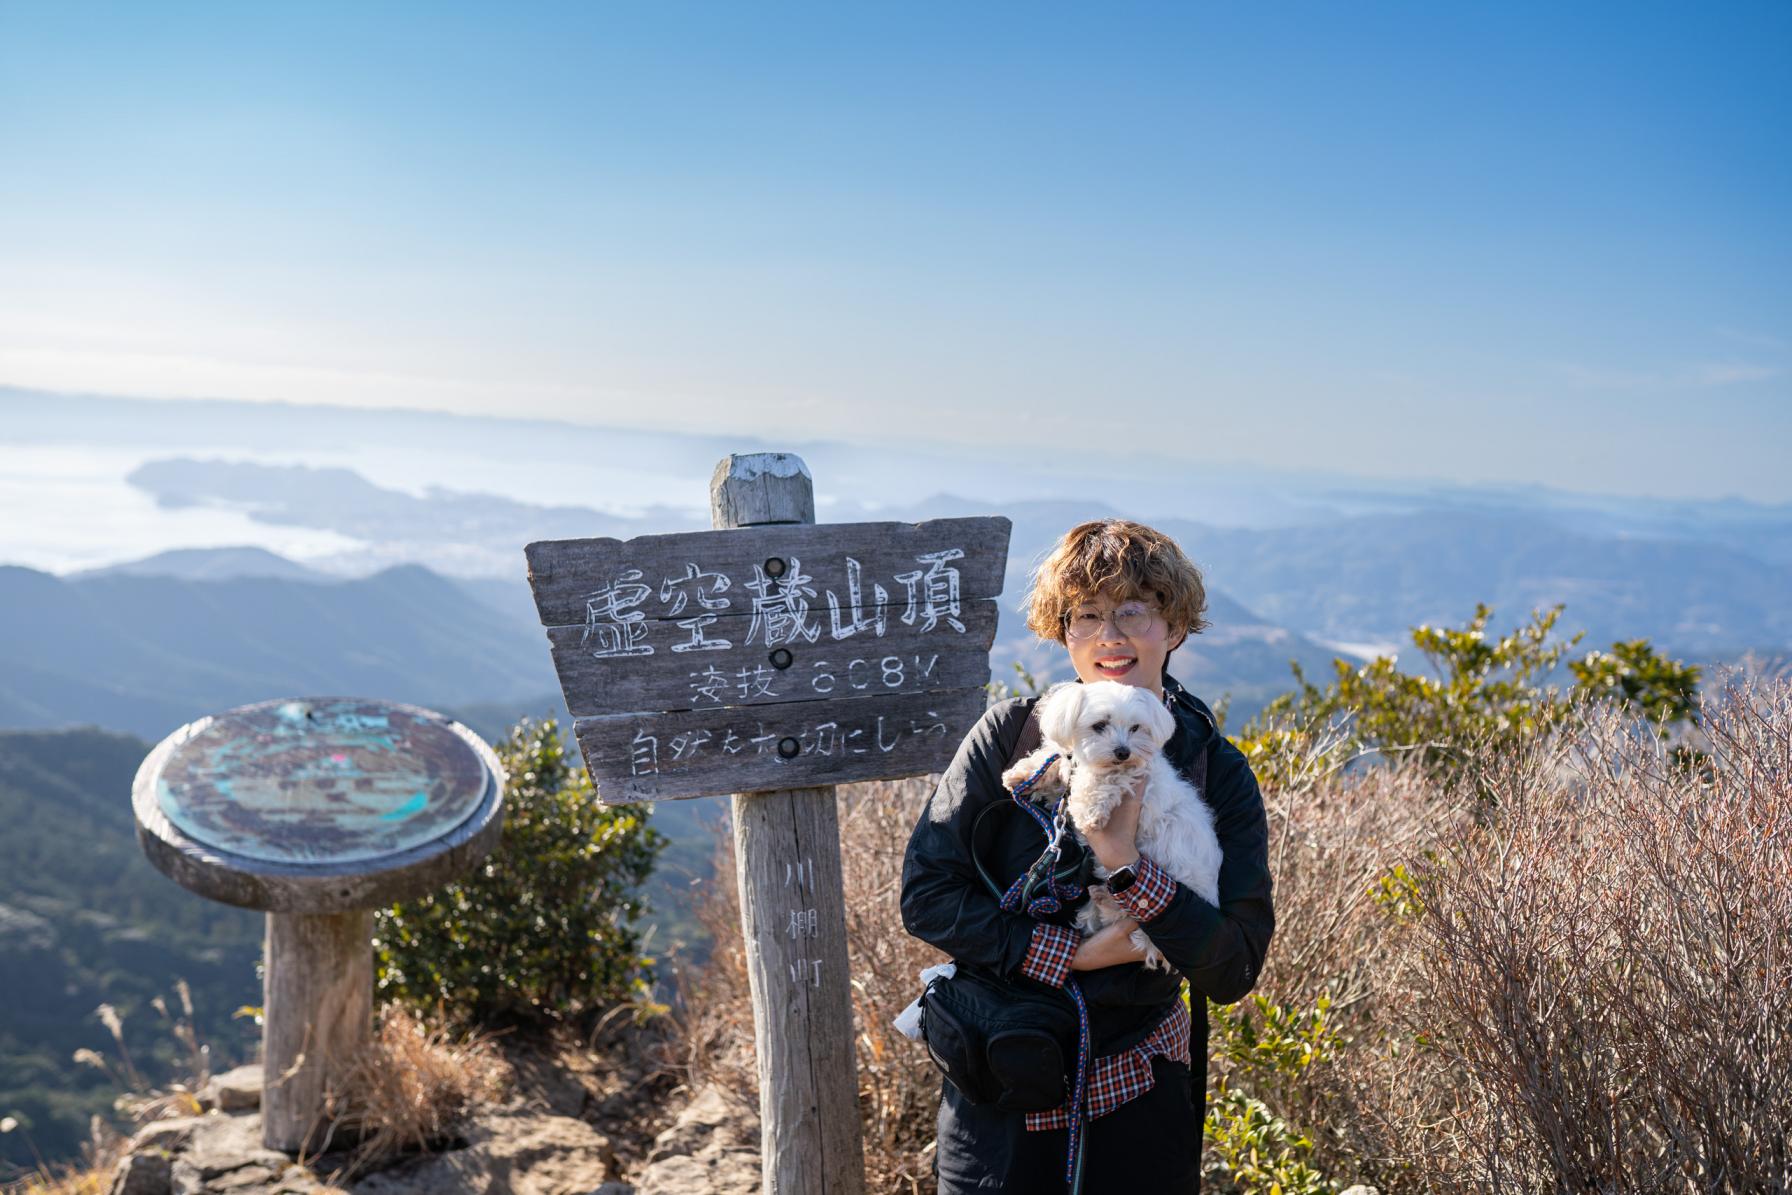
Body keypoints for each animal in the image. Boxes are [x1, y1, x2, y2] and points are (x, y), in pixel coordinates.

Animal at [1003, 680, 1225, 974]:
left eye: (1136, 727)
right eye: (1099, 725)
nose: (1123, 752)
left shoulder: (1133, 775)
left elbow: (1100, 781)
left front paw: (1087, 812)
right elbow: (1058, 759)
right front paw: (1024, 774)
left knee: (1127, 917)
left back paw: (1105, 899)